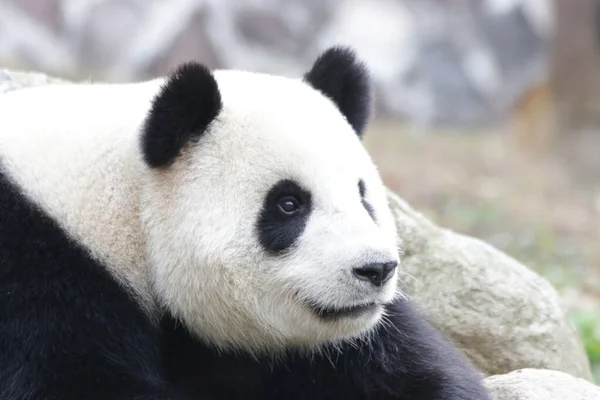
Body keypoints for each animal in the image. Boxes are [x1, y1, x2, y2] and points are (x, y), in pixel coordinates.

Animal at [0, 47, 488, 400]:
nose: (376, 269)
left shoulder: (345, 341)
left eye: (362, 195)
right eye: (289, 204)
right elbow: (74, 381)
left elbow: (408, 366)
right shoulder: (39, 276)